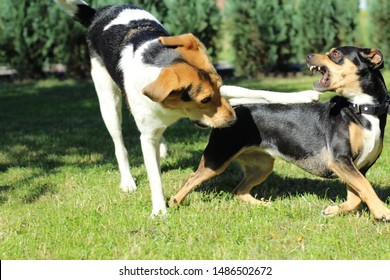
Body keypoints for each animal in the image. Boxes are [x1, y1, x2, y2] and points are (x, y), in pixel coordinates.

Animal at [57, 0, 320, 217]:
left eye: (218, 87)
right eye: (204, 100)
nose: (234, 121)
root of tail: (100, 13)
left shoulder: (225, 93)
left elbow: (262, 93)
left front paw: (304, 96)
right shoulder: (147, 135)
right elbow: (154, 175)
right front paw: (159, 210)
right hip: (107, 99)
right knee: (119, 142)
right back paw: (128, 181)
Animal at [172, 46, 390, 221]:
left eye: (335, 54)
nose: (308, 56)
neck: (361, 109)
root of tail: (234, 109)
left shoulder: (358, 167)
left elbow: (357, 197)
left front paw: (333, 210)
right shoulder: (340, 160)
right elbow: (366, 188)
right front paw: (383, 212)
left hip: (262, 166)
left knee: (238, 191)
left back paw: (262, 205)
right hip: (217, 158)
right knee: (191, 179)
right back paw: (173, 204)